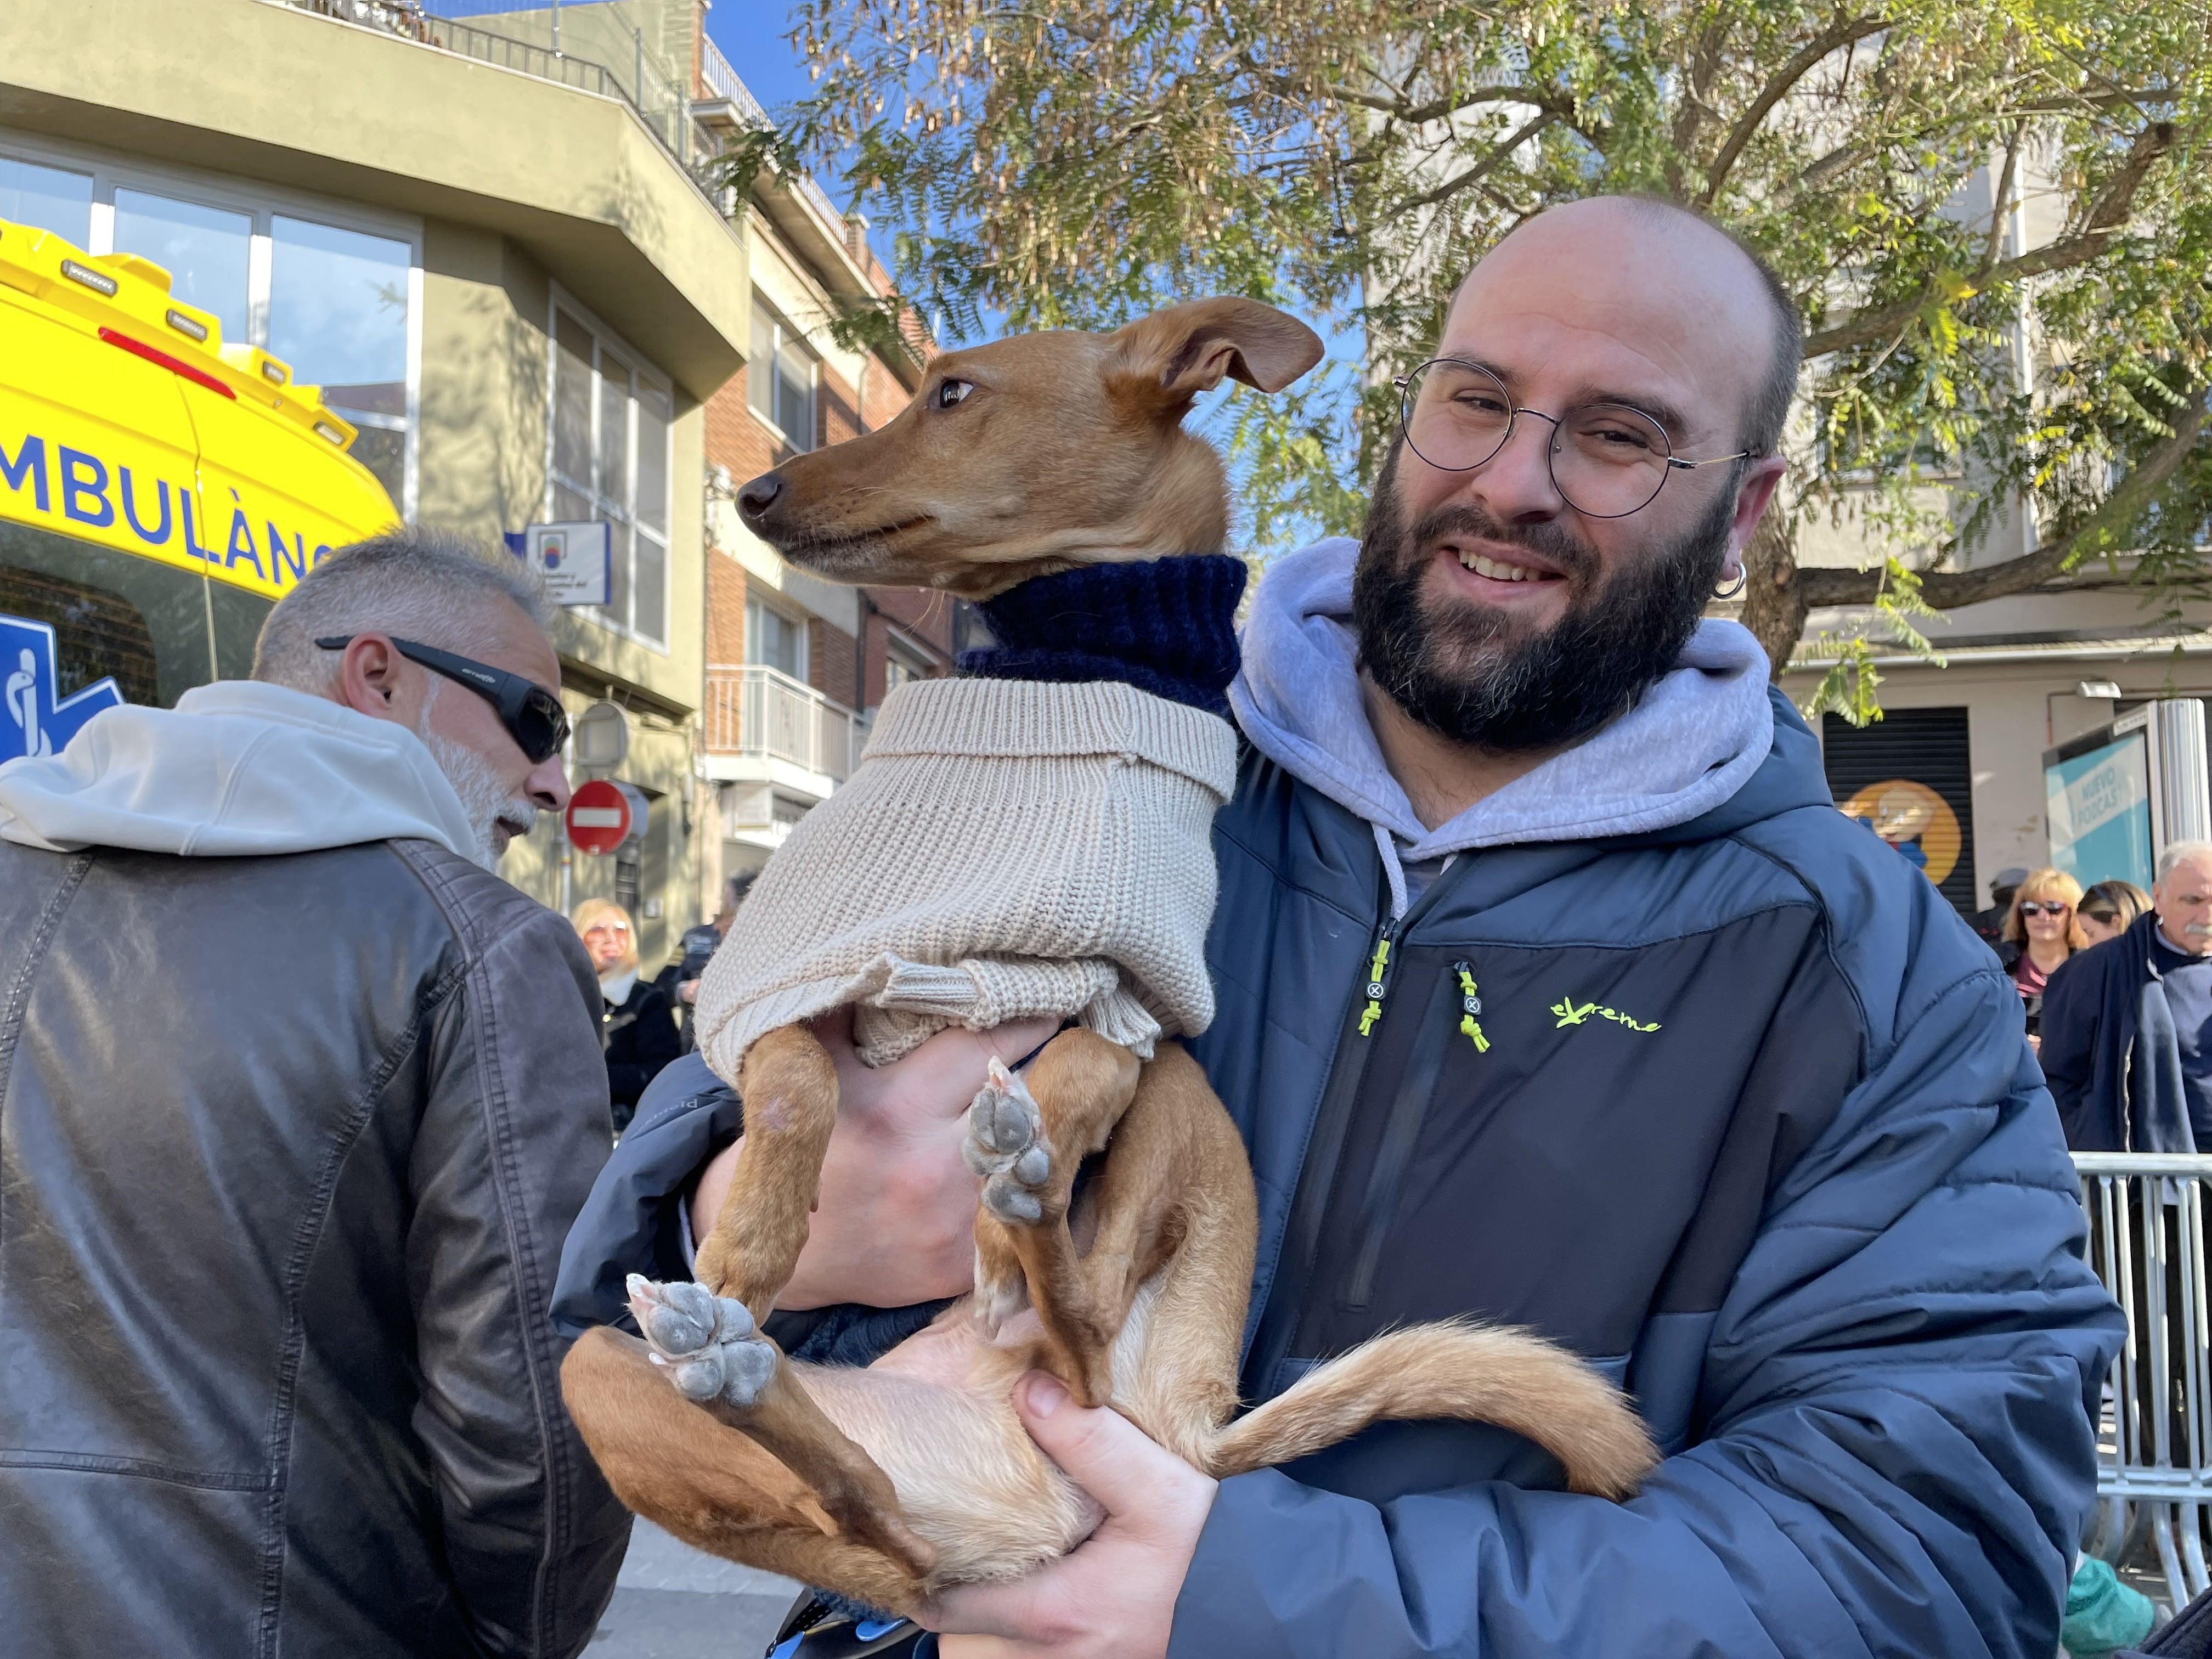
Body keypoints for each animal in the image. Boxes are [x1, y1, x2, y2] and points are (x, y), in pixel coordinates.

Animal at [557, 298, 1663, 1628]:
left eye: (952, 392)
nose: (758, 491)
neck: (1084, 665)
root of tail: (1183, 1430)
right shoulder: (787, 971)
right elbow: (791, 1084)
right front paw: (752, 1245)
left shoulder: (1137, 1005)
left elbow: (1082, 1068)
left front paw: (1003, 1184)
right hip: (600, 1374)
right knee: (880, 1524)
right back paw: (746, 1360)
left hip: (1187, 1122)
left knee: (1066, 1350)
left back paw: (1019, 1219)